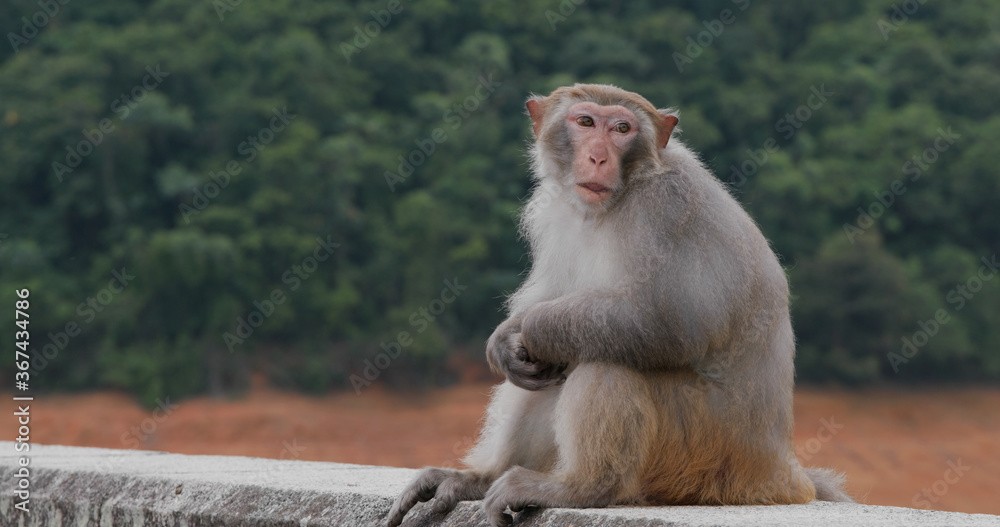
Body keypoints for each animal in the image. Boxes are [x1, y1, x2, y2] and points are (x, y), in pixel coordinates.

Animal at [387, 84, 852, 527]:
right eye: (586, 122)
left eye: (622, 129)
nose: (597, 157)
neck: (613, 200)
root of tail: (782, 473)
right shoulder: (556, 212)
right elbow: (552, 294)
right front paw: (503, 340)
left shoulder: (664, 207)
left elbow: (666, 322)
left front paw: (527, 327)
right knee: (555, 366)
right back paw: (482, 478)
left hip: (707, 452)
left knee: (607, 358)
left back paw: (583, 488)